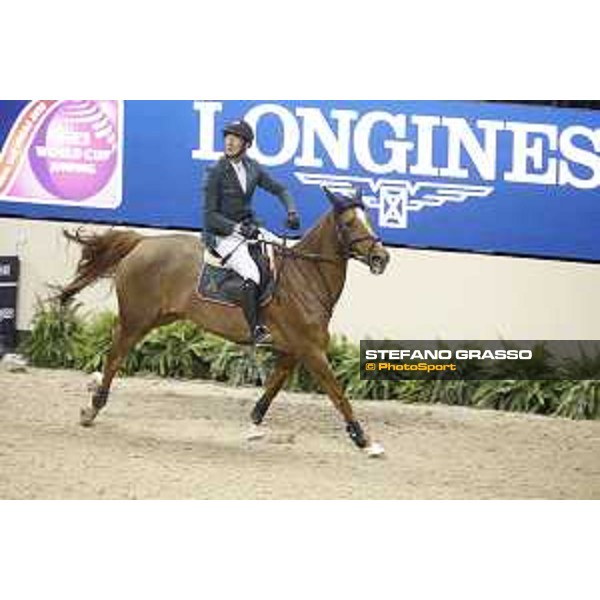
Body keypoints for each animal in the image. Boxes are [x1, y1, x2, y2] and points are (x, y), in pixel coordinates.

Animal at [59, 186, 390, 454]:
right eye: (349, 223)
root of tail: (142, 243)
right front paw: (364, 440)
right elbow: (338, 394)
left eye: (369, 220)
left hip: (157, 318)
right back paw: (92, 408)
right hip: (136, 320)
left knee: (114, 354)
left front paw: (253, 426)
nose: (381, 258)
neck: (306, 277)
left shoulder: (292, 351)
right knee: (115, 356)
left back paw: (92, 393)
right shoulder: (311, 351)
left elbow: (271, 390)